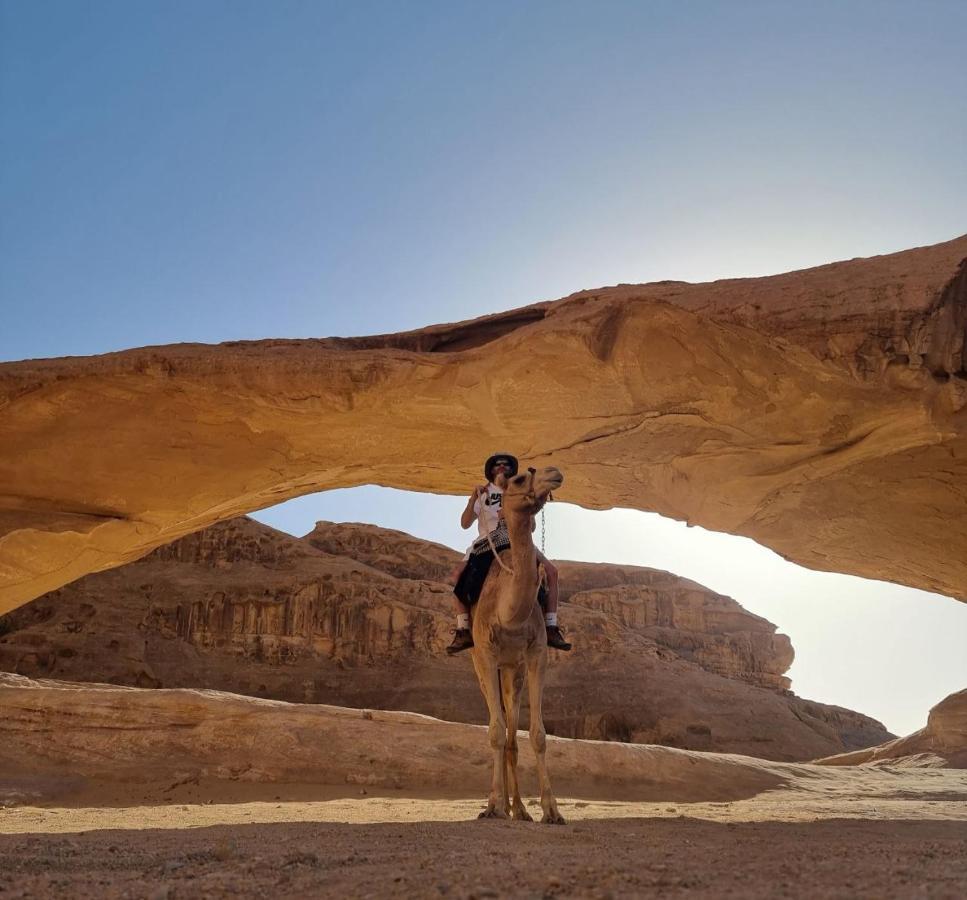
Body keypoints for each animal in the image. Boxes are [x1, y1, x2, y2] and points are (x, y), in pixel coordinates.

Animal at [470, 464, 564, 824]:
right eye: (521, 478)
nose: (555, 472)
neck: (508, 612)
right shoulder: (485, 653)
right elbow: (494, 733)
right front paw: (492, 805)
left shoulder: (536, 654)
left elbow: (537, 736)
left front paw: (551, 810)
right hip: (484, 666)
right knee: (502, 732)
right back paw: (507, 807)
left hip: (513, 670)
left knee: (513, 738)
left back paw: (519, 809)